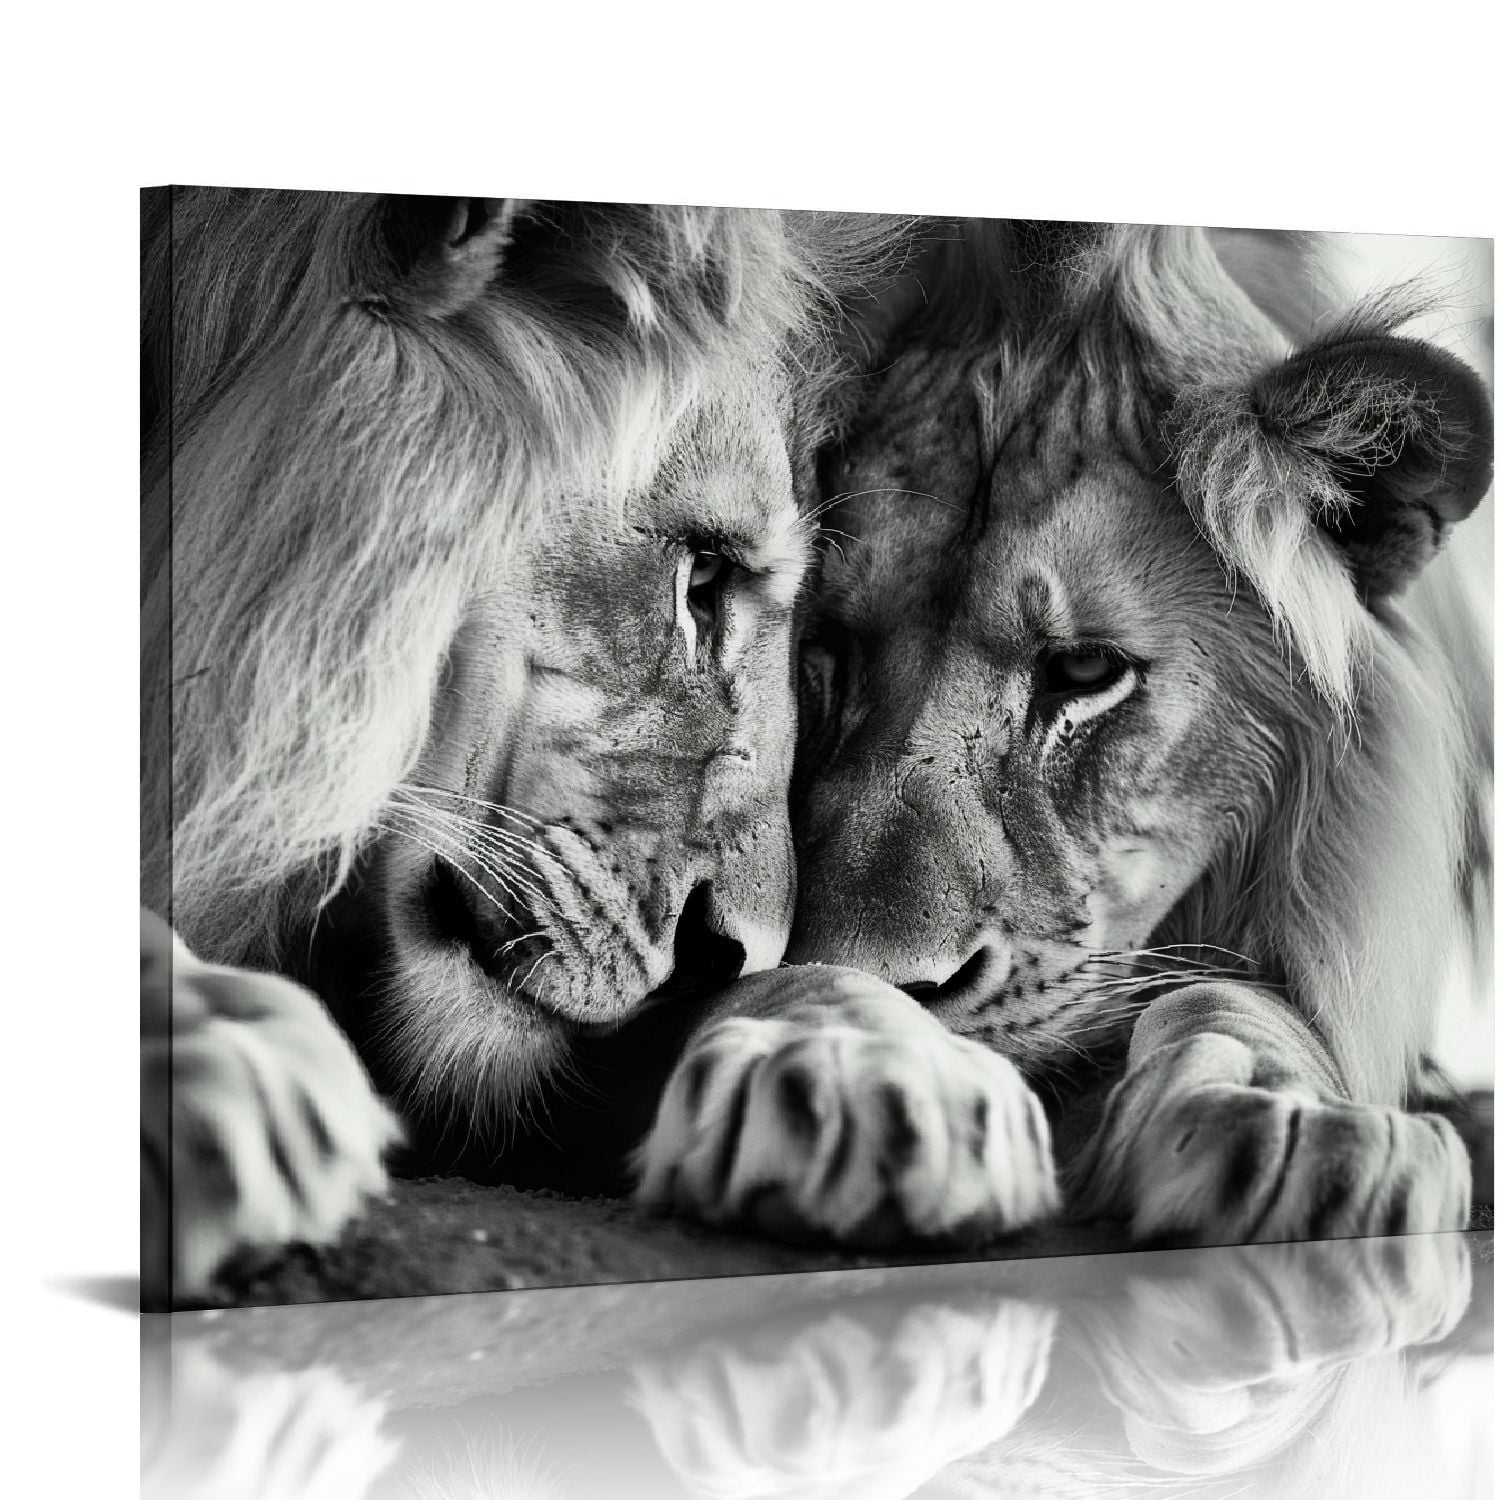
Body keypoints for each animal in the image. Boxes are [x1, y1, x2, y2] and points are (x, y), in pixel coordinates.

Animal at [634, 219, 1493, 1251]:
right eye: (823, 648)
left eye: (1084, 672)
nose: (903, 991)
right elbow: (776, 975)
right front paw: (854, 1072)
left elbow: (1239, 1001)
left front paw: (1301, 1125)